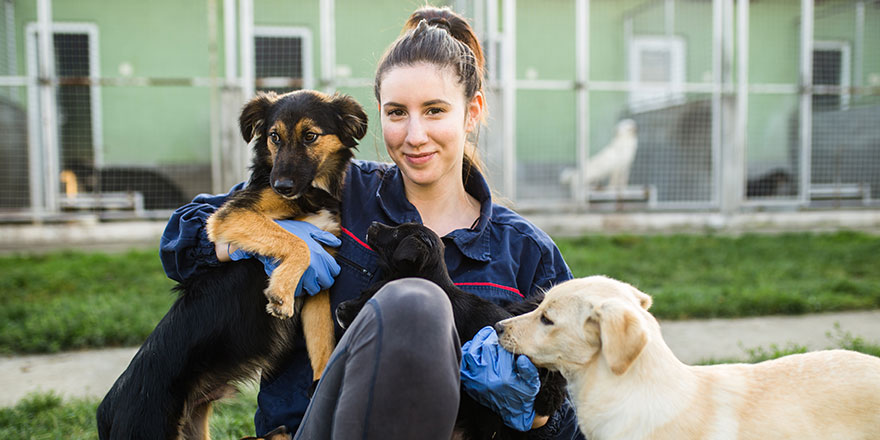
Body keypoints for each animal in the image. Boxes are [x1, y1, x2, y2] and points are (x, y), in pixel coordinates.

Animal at [97, 90, 368, 440]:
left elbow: (323, 344)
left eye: (310, 136)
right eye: (274, 137)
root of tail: (106, 412)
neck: (310, 195)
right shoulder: (230, 217)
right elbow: (297, 241)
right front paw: (280, 292)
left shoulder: (319, 283)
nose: (281, 186)